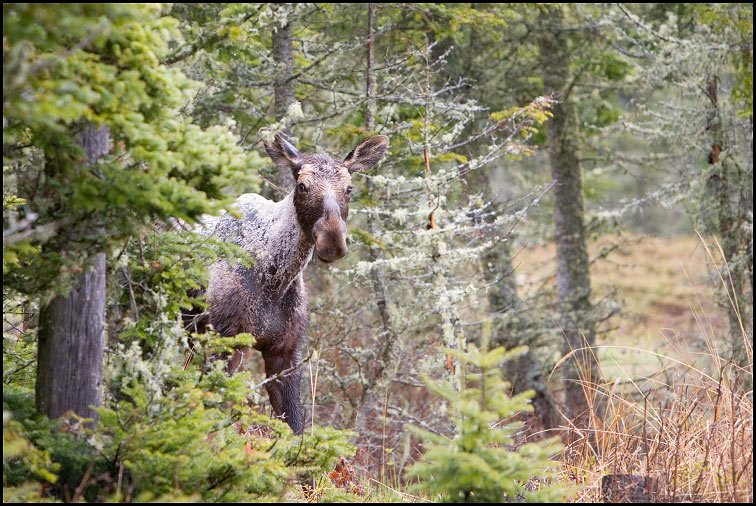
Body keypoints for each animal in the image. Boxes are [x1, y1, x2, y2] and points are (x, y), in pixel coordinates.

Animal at [192, 130, 389, 435]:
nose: (333, 241)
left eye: (349, 189)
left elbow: (295, 425)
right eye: (302, 186)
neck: (275, 281)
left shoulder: (285, 351)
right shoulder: (224, 340)